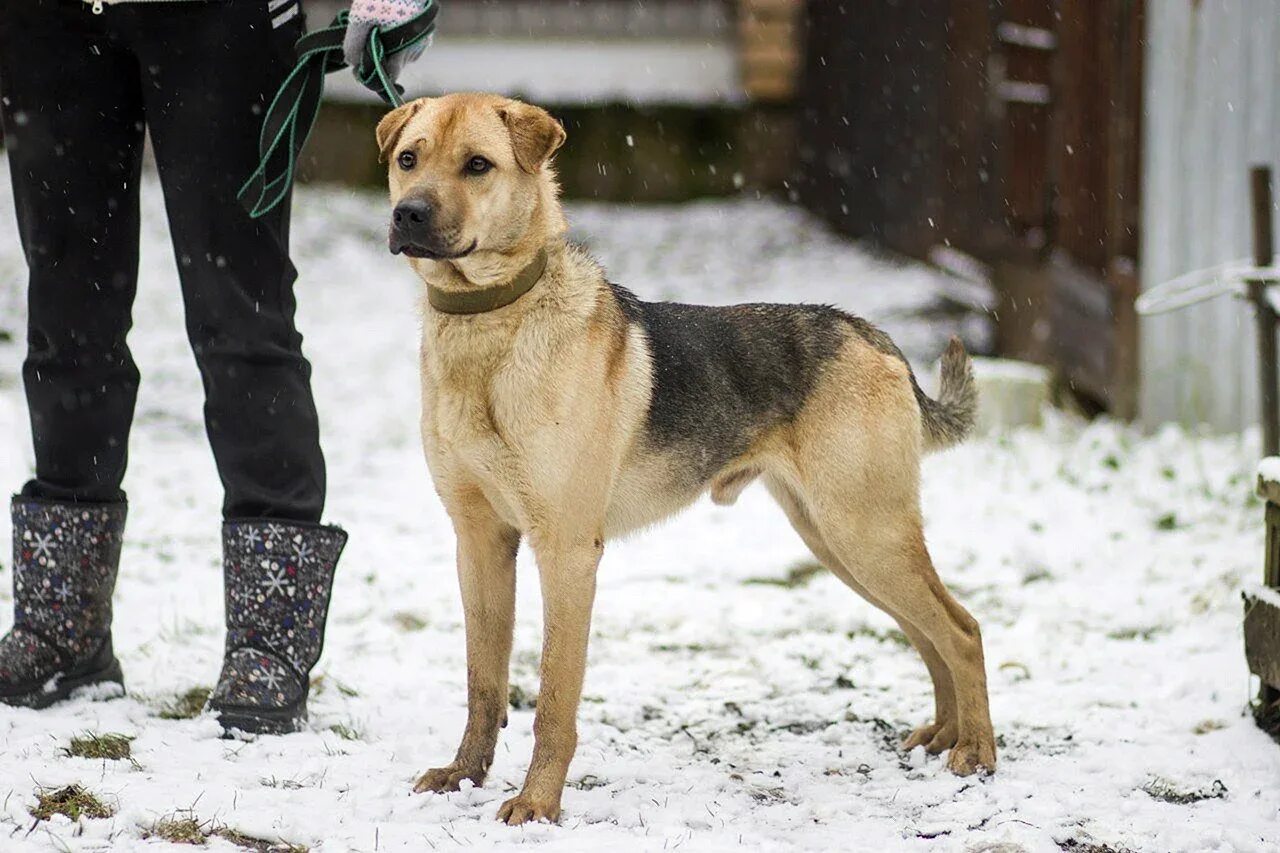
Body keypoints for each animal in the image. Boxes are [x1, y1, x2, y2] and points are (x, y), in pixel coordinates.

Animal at [373, 89, 993, 819]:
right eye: (407, 159)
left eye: (477, 165)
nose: (408, 215)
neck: (489, 324)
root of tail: (874, 336)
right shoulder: (479, 539)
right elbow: (483, 679)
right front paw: (464, 775)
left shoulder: (566, 549)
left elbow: (554, 697)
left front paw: (539, 805)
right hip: (837, 539)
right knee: (931, 632)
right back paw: (943, 735)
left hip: (864, 530)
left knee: (962, 630)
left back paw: (976, 754)